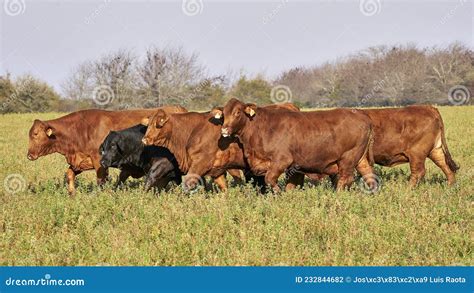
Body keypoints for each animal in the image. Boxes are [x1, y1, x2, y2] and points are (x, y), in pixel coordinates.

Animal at [26, 106, 187, 195]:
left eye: (35, 134)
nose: (29, 155)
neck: (79, 129)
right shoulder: (82, 161)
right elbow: (69, 174)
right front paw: (72, 194)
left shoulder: (99, 161)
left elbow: (100, 180)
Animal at [218, 97, 374, 190]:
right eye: (224, 114)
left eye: (237, 112)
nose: (224, 129)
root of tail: (361, 115)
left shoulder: (282, 160)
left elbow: (270, 180)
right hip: (360, 160)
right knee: (369, 176)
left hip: (347, 160)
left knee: (345, 180)